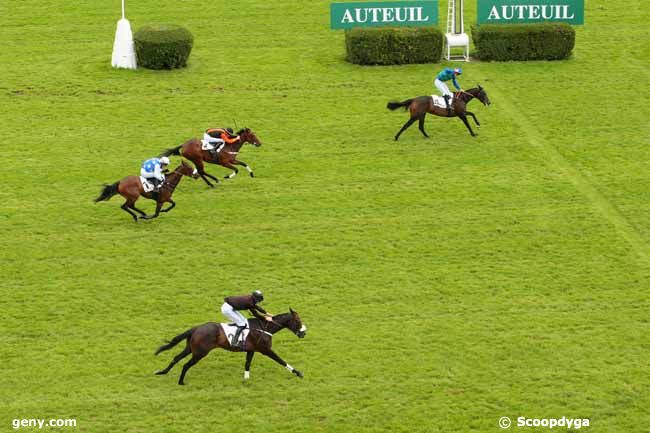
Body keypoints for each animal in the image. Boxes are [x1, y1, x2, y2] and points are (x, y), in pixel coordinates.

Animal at [153, 308, 306, 384]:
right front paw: (298, 373)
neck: (264, 326)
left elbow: (247, 363)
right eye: (298, 321)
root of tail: (196, 328)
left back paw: (162, 372)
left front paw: (246, 379)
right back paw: (180, 382)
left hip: (191, 348)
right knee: (185, 365)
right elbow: (281, 360)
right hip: (200, 352)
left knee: (176, 358)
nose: (303, 333)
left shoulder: (251, 349)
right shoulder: (265, 349)